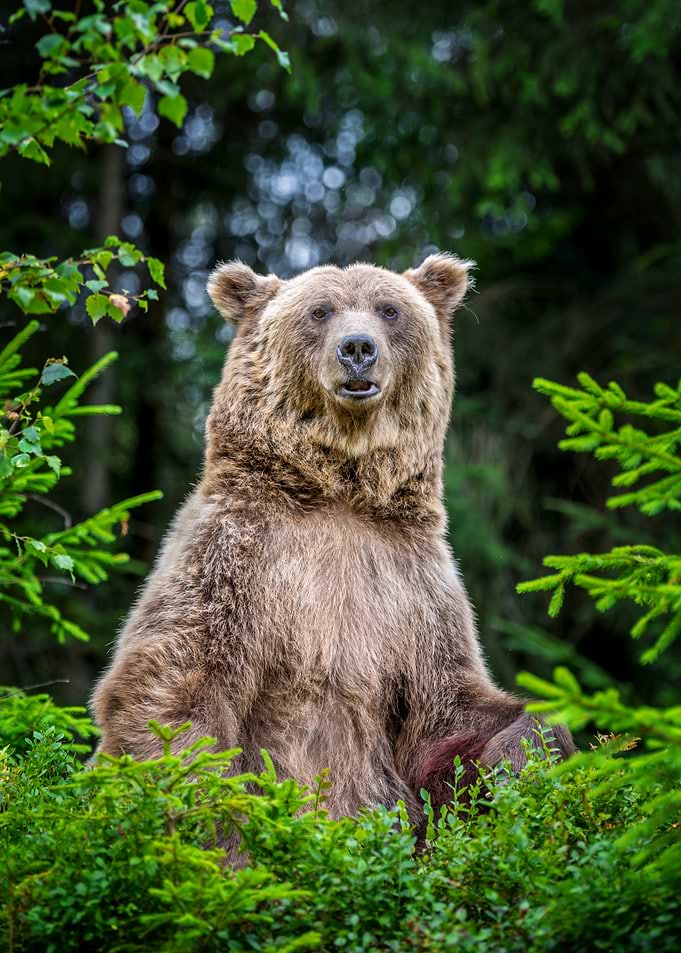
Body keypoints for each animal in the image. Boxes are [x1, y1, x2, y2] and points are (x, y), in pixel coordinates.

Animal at [91, 253, 574, 825]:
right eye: (320, 311)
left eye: (388, 310)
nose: (358, 348)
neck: (340, 491)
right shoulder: (233, 557)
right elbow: (177, 687)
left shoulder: (412, 589)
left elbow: (452, 710)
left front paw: (527, 757)